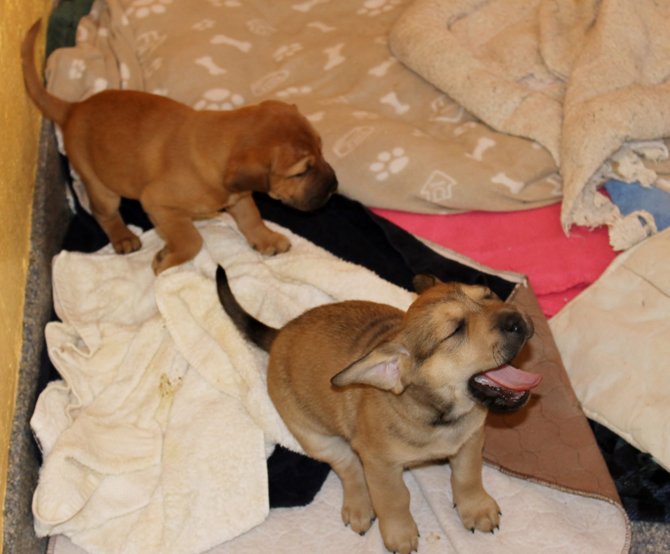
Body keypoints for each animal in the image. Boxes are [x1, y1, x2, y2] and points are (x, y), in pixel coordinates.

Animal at [21, 20, 338, 272]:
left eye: (322, 149)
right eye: (301, 172)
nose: (334, 186)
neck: (217, 144)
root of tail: (73, 109)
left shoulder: (240, 197)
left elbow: (252, 219)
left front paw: (267, 239)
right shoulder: (156, 202)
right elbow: (190, 240)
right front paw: (166, 259)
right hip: (101, 185)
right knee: (104, 213)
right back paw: (123, 237)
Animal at [218, 266, 544, 548]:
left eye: (489, 294)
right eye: (455, 330)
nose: (516, 317)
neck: (439, 415)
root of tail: (280, 333)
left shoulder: (471, 440)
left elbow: (468, 476)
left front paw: (475, 507)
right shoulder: (380, 464)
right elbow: (395, 499)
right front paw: (399, 533)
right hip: (317, 438)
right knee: (348, 467)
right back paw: (359, 506)